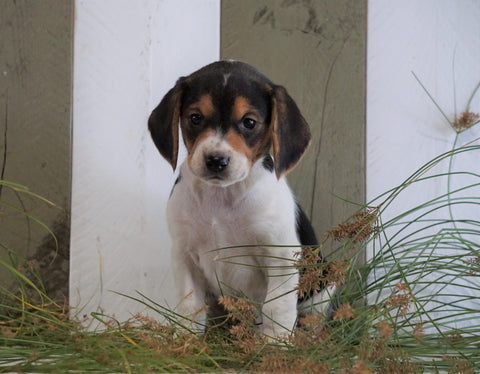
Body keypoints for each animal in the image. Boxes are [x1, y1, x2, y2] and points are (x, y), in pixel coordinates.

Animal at [149, 60, 330, 338]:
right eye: (195, 118)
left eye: (249, 122)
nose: (216, 160)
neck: (221, 197)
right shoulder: (184, 254)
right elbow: (190, 306)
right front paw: (186, 341)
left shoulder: (280, 257)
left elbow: (277, 309)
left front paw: (274, 344)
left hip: (323, 286)